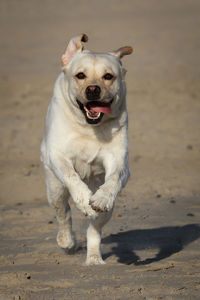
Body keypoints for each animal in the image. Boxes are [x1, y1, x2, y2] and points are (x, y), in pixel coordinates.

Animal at [40, 34, 133, 264]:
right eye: (80, 75)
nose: (93, 89)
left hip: (108, 211)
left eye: (108, 76)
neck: (89, 128)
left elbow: (114, 178)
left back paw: (93, 259)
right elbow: (71, 176)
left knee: (94, 229)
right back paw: (67, 241)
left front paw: (100, 198)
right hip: (54, 189)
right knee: (63, 213)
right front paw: (83, 200)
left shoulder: (119, 161)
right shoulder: (58, 155)